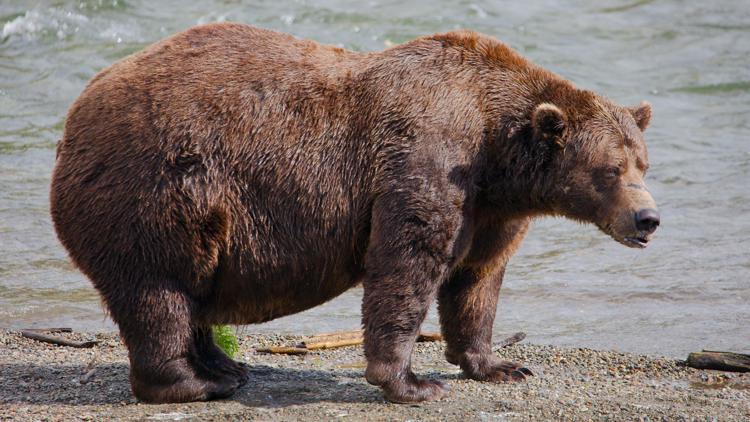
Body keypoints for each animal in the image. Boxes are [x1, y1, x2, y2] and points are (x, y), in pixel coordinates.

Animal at [50, 23, 660, 404]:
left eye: (643, 163)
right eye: (610, 170)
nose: (647, 219)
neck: (497, 151)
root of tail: (74, 116)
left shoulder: (490, 209)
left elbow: (477, 280)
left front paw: (500, 365)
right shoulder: (427, 159)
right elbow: (407, 263)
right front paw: (411, 383)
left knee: (191, 291)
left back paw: (225, 366)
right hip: (157, 189)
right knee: (159, 291)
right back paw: (194, 383)